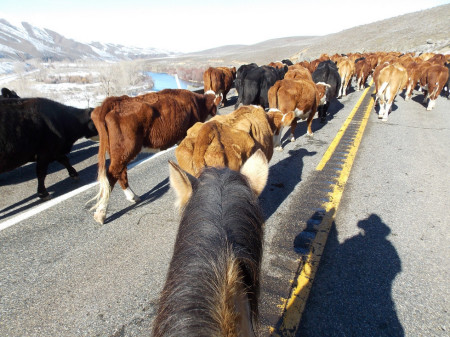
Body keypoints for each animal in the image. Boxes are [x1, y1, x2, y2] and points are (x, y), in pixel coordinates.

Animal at [89, 88, 221, 223]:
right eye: (216, 107)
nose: (219, 117)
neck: (198, 103)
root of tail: (115, 100)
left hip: (118, 152)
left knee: (120, 173)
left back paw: (133, 197)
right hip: (125, 149)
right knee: (111, 175)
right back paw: (100, 213)